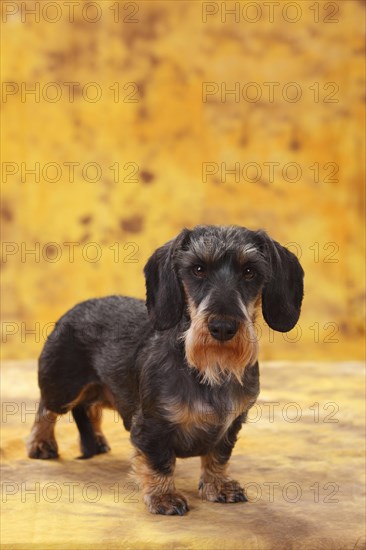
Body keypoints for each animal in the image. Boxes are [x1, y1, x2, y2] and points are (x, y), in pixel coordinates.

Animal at [27, 225, 304, 516]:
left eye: (250, 271)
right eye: (197, 269)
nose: (222, 328)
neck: (209, 368)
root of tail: (72, 310)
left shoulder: (231, 425)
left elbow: (218, 456)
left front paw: (218, 485)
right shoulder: (151, 426)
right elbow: (159, 462)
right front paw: (164, 497)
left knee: (89, 408)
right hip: (62, 388)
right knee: (46, 410)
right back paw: (41, 444)